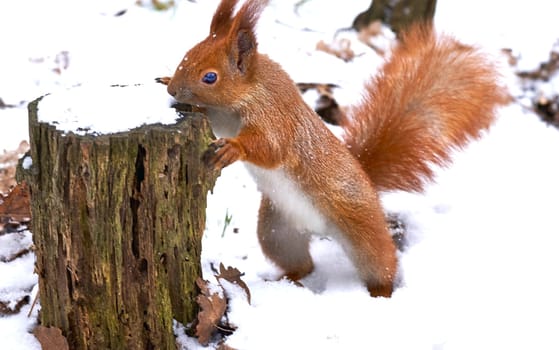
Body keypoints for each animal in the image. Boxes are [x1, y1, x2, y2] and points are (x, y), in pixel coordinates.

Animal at [156, 0, 508, 298]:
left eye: (210, 77)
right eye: (186, 55)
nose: (173, 89)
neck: (248, 93)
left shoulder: (275, 118)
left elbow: (269, 148)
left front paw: (233, 149)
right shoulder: (223, 117)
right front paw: (166, 85)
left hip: (363, 231)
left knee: (383, 262)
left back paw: (380, 294)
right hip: (277, 231)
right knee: (303, 264)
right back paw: (286, 281)